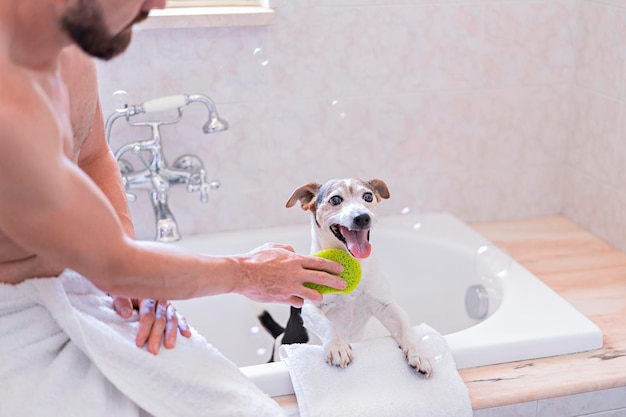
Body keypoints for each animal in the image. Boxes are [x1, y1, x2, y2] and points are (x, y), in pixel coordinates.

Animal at [258, 177, 428, 376]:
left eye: (368, 196)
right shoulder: (310, 308)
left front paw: (418, 353)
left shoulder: (386, 306)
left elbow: (405, 329)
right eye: (335, 200)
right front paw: (338, 348)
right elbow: (328, 326)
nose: (362, 217)